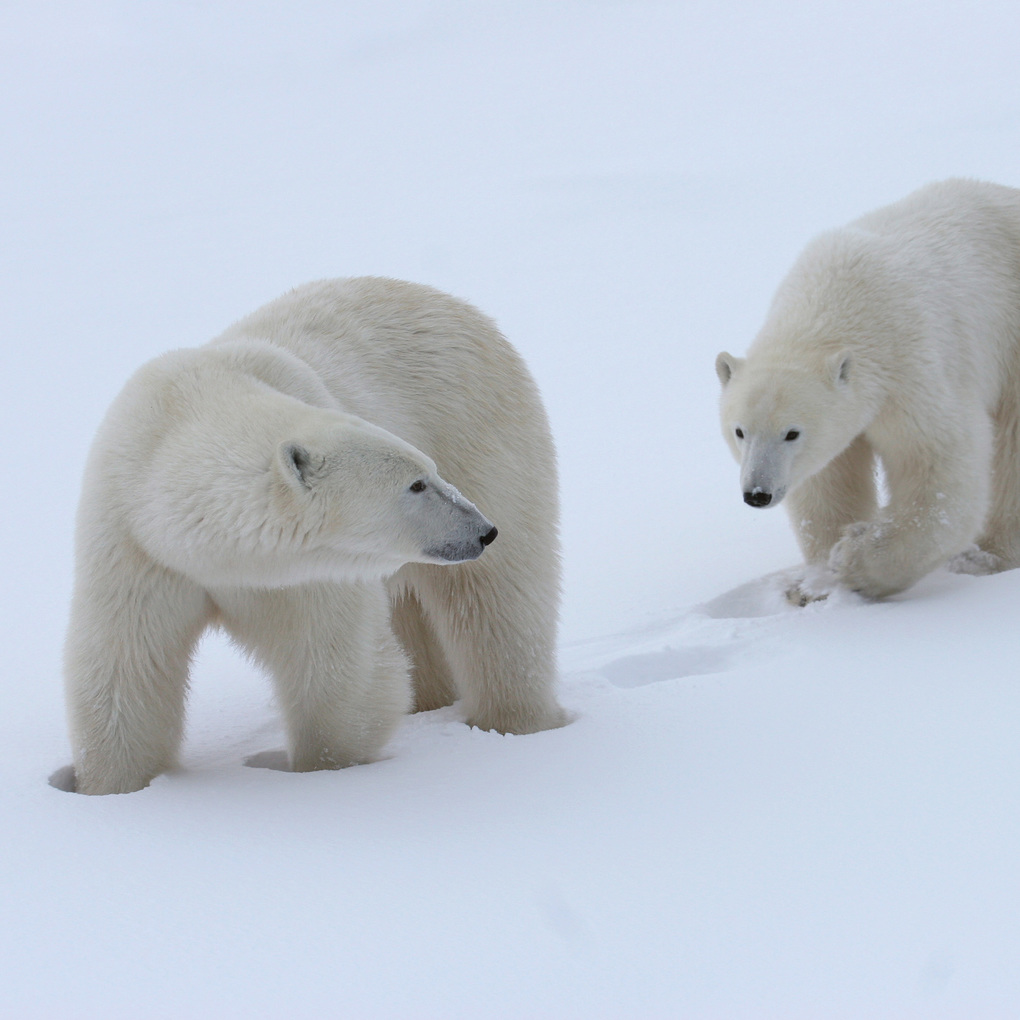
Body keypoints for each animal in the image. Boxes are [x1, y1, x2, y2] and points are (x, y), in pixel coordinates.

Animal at [64, 276, 566, 795]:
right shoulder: (135, 545)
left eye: (428, 472)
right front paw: (111, 788)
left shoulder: (307, 570)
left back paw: (514, 720)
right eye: (416, 483)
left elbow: (334, 669)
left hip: (479, 427)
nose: (482, 530)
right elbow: (125, 674)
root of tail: (455, 304)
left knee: (499, 603)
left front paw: (322, 774)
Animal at [715, 178, 1020, 599]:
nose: (757, 493)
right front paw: (815, 584)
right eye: (740, 431)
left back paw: (990, 557)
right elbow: (828, 480)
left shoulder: (910, 366)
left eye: (792, 433)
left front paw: (856, 560)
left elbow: (937, 463)